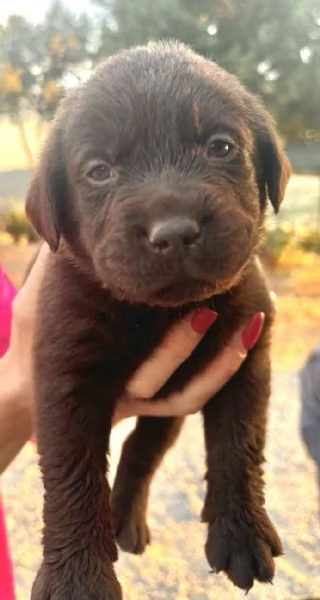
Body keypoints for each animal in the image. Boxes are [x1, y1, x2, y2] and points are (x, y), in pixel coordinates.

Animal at [26, 39, 292, 596]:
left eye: (221, 147)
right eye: (99, 170)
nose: (173, 231)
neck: (157, 314)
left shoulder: (246, 357)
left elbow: (240, 445)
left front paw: (242, 531)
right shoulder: (65, 377)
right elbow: (72, 478)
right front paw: (77, 577)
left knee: (141, 449)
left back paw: (126, 518)